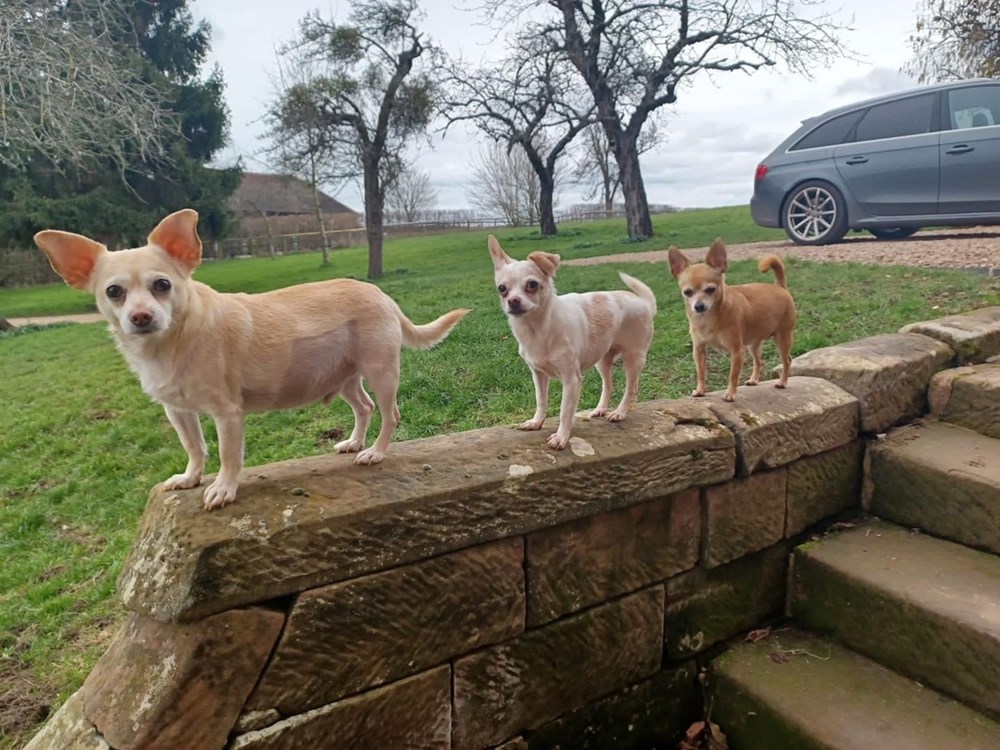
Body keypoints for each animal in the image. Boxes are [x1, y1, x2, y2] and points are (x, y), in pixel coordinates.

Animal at [32, 210, 468, 512]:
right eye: (114, 292)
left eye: (162, 285)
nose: (140, 317)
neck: (171, 343)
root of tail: (383, 295)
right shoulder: (178, 412)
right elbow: (194, 447)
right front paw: (190, 478)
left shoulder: (227, 414)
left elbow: (227, 455)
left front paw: (223, 489)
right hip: (344, 377)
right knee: (364, 407)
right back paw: (354, 442)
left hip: (381, 372)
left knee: (390, 414)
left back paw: (374, 451)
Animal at [490, 235, 660, 450]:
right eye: (502, 289)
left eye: (532, 285)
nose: (513, 301)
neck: (537, 330)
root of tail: (644, 302)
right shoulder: (538, 374)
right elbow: (541, 400)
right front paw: (537, 422)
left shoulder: (571, 380)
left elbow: (565, 411)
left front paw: (561, 438)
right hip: (602, 360)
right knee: (608, 384)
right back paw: (600, 409)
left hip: (633, 359)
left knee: (631, 388)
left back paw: (619, 413)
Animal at [668, 241, 800, 406]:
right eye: (687, 292)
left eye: (710, 289)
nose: (698, 306)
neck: (709, 318)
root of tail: (779, 286)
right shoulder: (699, 350)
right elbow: (701, 372)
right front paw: (700, 390)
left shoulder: (737, 351)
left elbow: (733, 375)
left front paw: (730, 394)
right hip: (753, 344)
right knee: (759, 361)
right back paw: (753, 380)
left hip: (782, 338)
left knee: (787, 360)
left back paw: (782, 382)